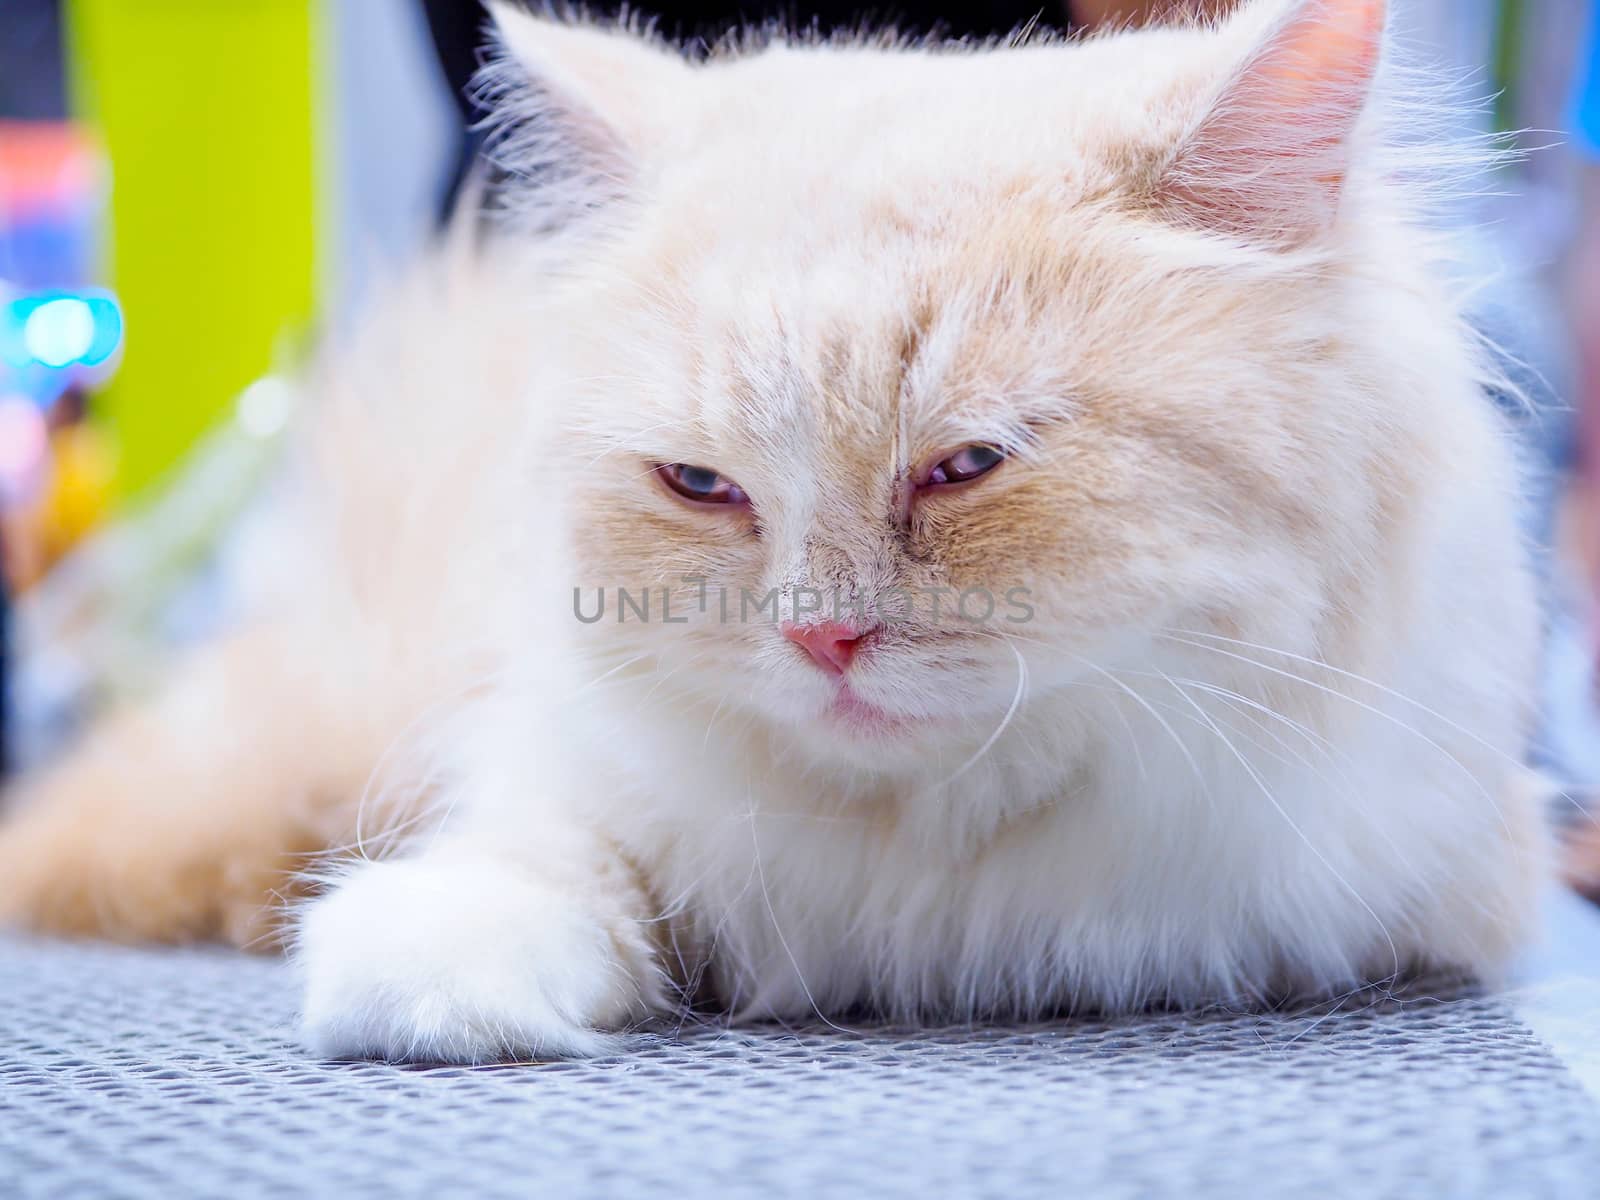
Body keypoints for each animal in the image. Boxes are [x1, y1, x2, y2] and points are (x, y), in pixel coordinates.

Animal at [0, 0, 1548, 1068]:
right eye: (703, 486)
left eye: (965, 467)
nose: (824, 639)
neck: (924, 859)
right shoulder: (561, 753)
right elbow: (551, 852)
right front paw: (431, 974)